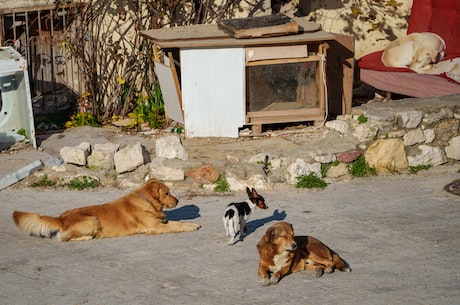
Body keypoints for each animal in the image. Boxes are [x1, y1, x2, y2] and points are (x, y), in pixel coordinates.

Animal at [11, 178, 199, 240]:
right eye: (167, 193)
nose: (178, 200)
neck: (148, 202)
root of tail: (61, 218)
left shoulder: (160, 222)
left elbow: (175, 222)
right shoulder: (156, 227)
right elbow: (177, 225)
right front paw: (192, 226)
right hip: (91, 220)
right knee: (62, 237)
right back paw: (88, 237)